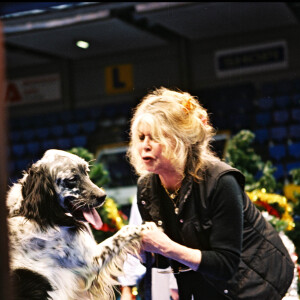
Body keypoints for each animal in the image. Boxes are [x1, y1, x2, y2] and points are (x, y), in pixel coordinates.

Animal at [6, 150, 147, 300]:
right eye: (72, 179)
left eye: (86, 172)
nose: (103, 196)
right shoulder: (91, 261)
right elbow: (125, 231)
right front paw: (147, 227)